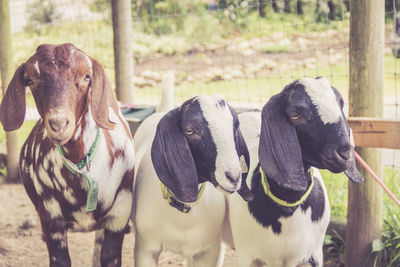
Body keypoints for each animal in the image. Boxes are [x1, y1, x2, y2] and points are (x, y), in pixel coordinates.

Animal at [0, 43, 136, 266]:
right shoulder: (50, 218)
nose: (58, 123)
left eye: (87, 76)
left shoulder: (119, 214)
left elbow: (109, 256)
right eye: (30, 79)